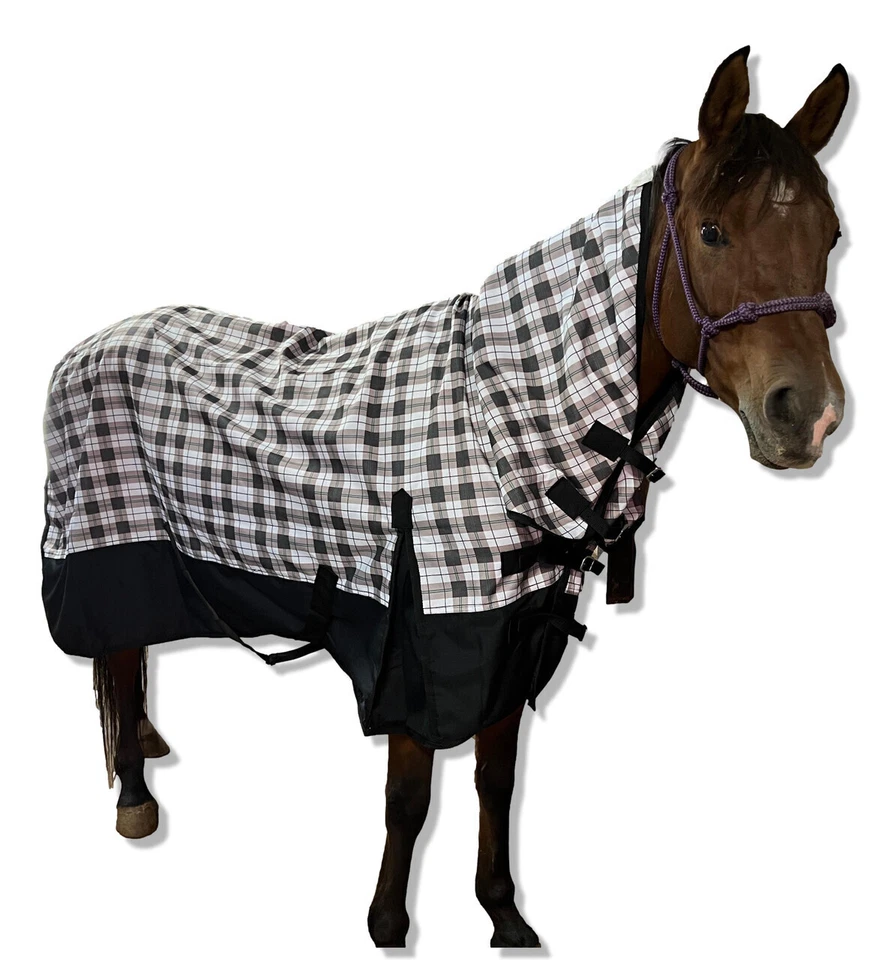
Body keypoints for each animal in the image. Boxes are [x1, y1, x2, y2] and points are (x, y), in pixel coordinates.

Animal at [40, 46, 848, 947]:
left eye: (831, 235)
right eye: (711, 232)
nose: (809, 415)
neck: (492, 413)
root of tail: (90, 343)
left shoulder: (514, 642)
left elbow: (496, 780)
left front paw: (503, 912)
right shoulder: (416, 651)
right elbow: (409, 799)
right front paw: (389, 925)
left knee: (132, 653)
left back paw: (146, 740)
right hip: (103, 547)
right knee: (115, 654)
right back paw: (135, 796)